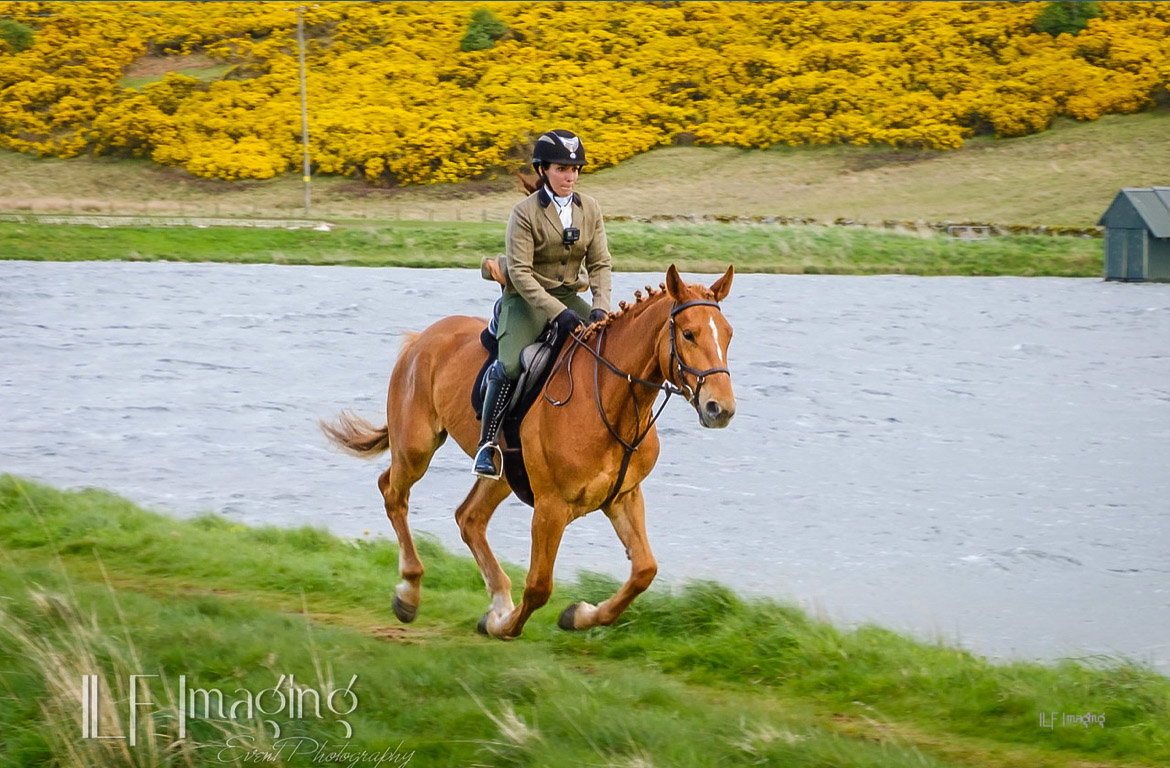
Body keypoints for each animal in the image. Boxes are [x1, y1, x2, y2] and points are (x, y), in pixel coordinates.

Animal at [320, 264, 736, 639]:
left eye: (729, 335)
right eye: (689, 334)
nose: (721, 409)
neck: (608, 399)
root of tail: (422, 338)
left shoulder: (623, 496)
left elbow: (644, 571)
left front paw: (577, 615)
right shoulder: (551, 507)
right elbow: (539, 587)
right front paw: (502, 625)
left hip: (501, 474)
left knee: (469, 518)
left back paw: (497, 598)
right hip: (416, 449)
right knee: (393, 493)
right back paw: (410, 592)